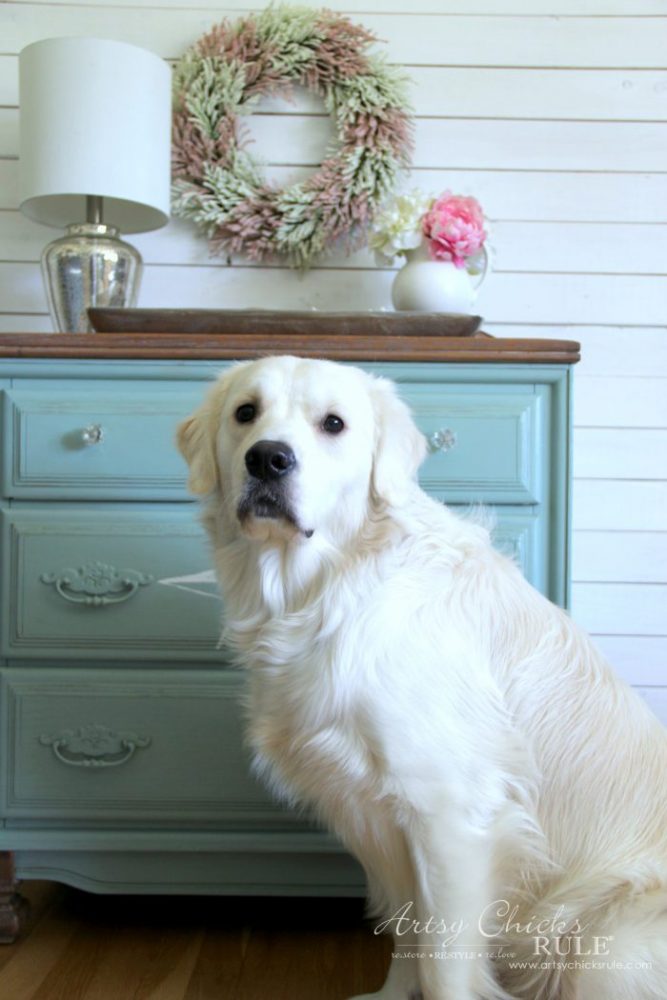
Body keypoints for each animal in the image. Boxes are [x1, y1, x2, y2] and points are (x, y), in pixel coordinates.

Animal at [177, 356, 667, 996]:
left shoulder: (450, 817)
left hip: (606, 951)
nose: (267, 459)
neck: (327, 589)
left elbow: (443, 962)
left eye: (333, 423)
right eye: (245, 413)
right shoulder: (383, 822)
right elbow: (407, 934)